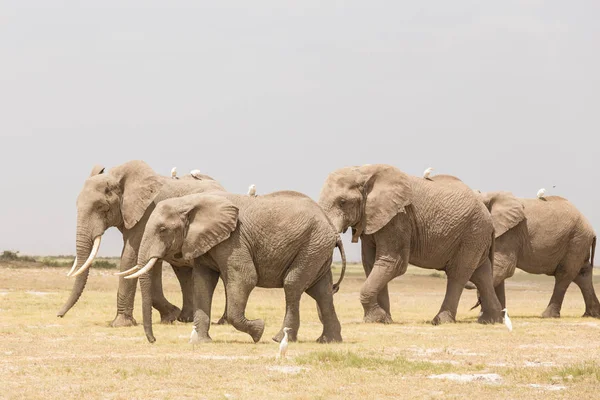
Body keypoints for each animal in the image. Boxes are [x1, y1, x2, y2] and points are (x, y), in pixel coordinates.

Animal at [56, 161, 227, 326]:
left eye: (101, 207)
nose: (59, 315)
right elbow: (150, 264)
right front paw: (170, 316)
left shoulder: (147, 215)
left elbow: (130, 257)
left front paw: (120, 324)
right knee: (183, 272)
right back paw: (186, 319)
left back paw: (222, 322)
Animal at [122, 191, 346, 344]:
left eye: (162, 230)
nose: (153, 340)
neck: (190, 201)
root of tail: (332, 230)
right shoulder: (206, 242)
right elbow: (202, 284)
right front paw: (200, 342)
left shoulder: (233, 240)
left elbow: (245, 278)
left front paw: (258, 331)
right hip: (317, 249)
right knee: (321, 292)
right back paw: (328, 341)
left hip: (312, 245)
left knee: (293, 285)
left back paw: (277, 339)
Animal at [316, 165, 504, 324]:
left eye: (342, 202)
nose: (334, 288)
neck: (364, 172)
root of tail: (489, 217)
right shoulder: (372, 219)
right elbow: (370, 263)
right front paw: (384, 320)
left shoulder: (399, 217)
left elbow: (393, 263)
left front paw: (377, 319)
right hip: (476, 236)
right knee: (481, 274)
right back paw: (491, 321)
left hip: (473, 232)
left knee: (458, 274)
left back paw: (440, 321)